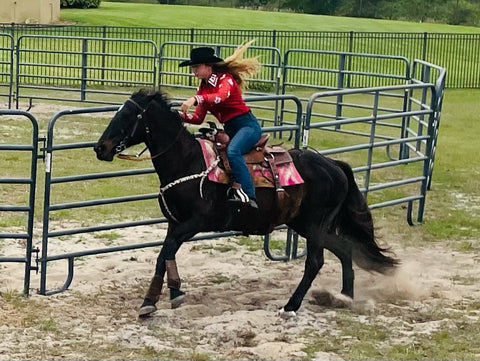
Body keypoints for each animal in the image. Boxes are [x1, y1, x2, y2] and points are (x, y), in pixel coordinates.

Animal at [93, 88, 398, 316]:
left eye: (129, 115)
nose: (100, 148)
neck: (188, 161)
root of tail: (334, 165)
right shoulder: (174, 223)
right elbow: (165, 255)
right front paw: (165, 296)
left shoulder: (194, 223)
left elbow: (164, 253)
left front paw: (160, 297)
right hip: (308, 225)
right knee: (345, 249)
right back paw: (345, 297)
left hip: (314, 226)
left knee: (315, 261)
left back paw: (291, 306)